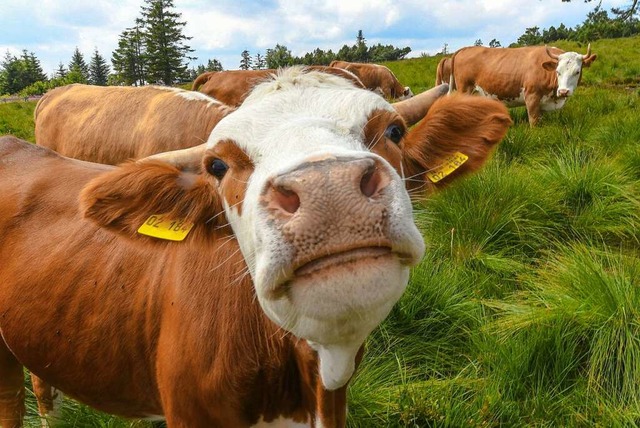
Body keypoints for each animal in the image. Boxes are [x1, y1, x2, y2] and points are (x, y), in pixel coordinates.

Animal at [448, 44, 596, 126]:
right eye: (557, 71)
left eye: (577, 72)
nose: (564, 91)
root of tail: (465, 48)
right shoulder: (531, 96)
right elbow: (534, 122)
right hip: (464, 89)